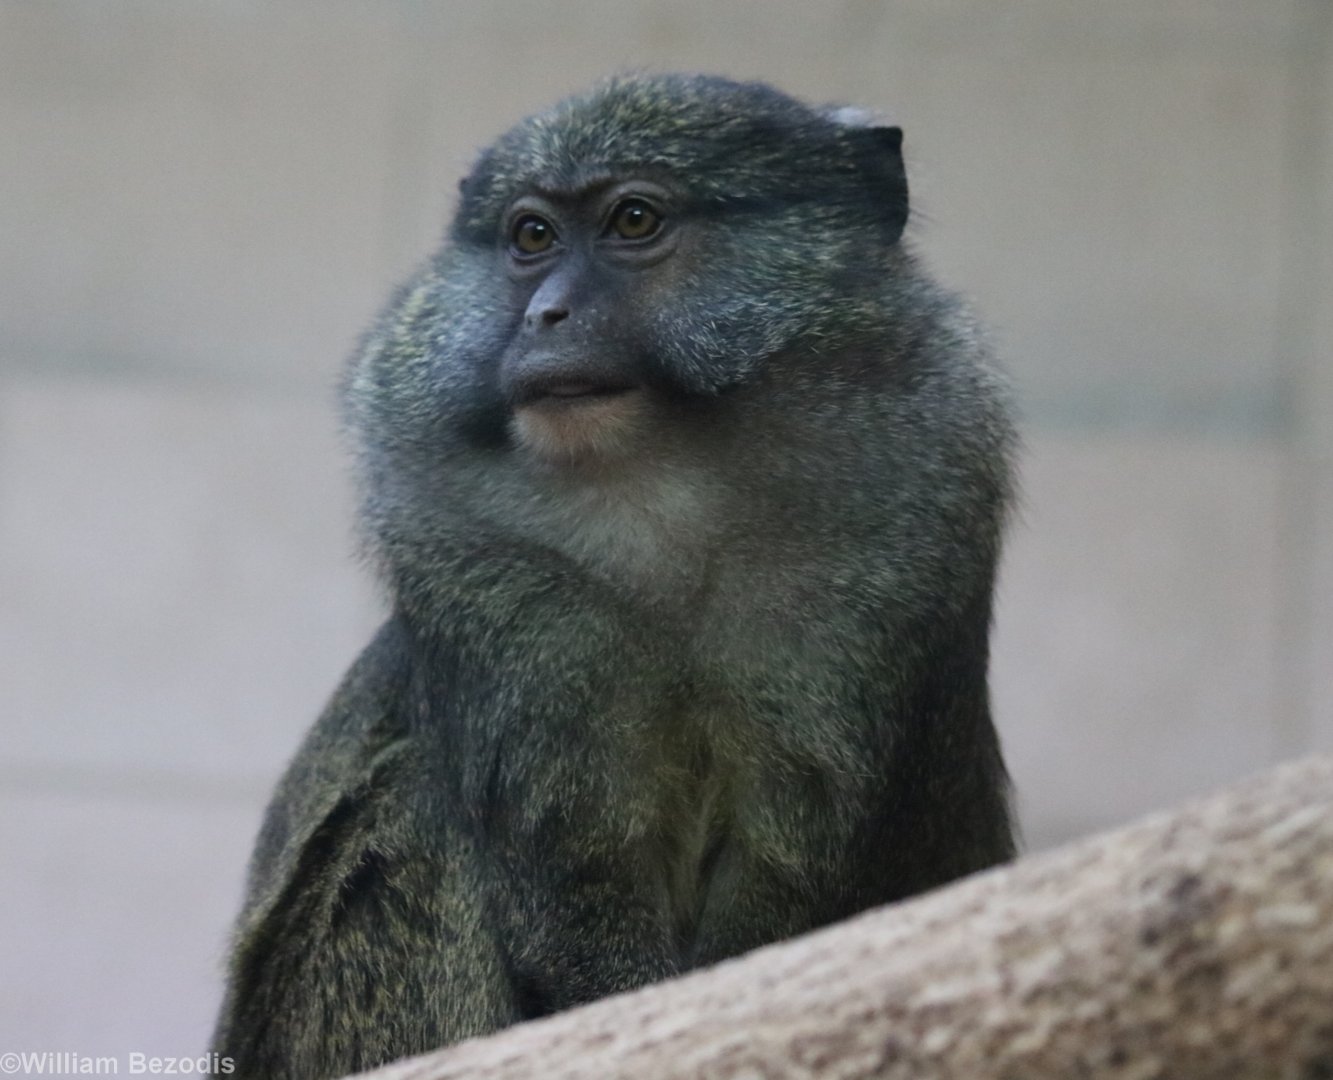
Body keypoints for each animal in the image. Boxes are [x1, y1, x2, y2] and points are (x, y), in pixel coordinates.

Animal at [210, 73, 1017, 1079]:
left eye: (633, 219)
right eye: (530, 237)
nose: (543, 315)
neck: (672, 489)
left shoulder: (917, 498)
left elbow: (793, 862)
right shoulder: (463, 554)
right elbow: (569, 868)